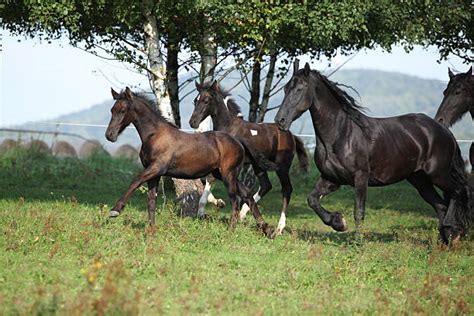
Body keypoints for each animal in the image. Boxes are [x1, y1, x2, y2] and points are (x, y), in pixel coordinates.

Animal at [104, 87, 274, 236]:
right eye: (112, 110)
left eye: (123, 110)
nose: (109, 135)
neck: (155, 135)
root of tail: (238, 141)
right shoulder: (154, 174)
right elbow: (151, 201)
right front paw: (152, 229)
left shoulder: (156, 168)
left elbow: (135, 181)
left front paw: (115, 210)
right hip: (221, 174)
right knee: (246, 193)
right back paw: (267, 229)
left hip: (228, 174)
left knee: (234, 200)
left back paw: (231, 231)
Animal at [191, 81, 310, 237]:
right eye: (195, 101)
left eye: (206, 100)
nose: (192, 122)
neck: (229, 127)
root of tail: (291, 134)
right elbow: (207, 179)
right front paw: (218, 203)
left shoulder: (231, 165)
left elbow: (211, 179)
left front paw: (202, 210)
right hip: (259, 165)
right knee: (266, 185)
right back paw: (243, 215)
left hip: (282, 167)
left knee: (287, 189)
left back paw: (279, 228)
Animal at [276, 62, 472, 244]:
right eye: (286, 88)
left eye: (300, 89)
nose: (280, 121)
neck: (341, 134)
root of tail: (443, 129)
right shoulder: (331, 179)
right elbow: (312, 200)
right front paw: (338, 222)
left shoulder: (360, 177)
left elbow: (359, 211)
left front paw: (357, 241)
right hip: (420, 180)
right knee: (441, 206)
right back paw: (445, 240)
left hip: (437, 174)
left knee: (458, 191)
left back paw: (453, 232)